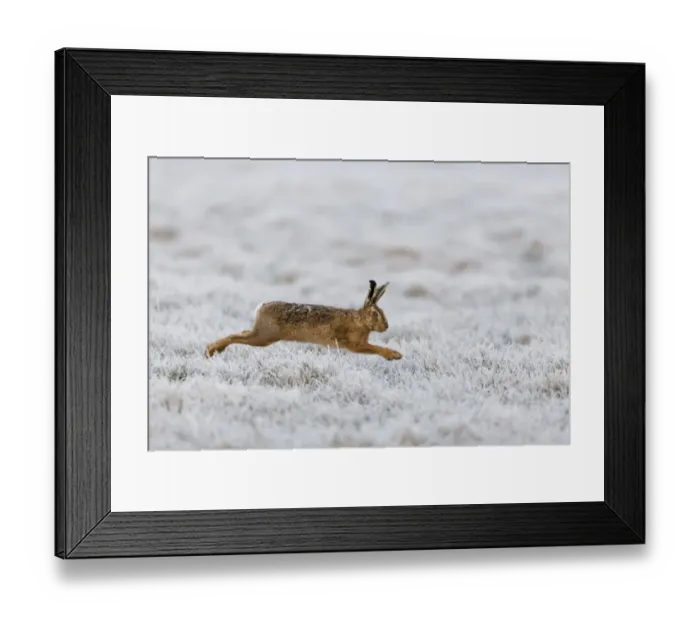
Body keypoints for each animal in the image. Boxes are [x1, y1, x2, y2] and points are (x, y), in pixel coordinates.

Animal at [205, 280, 403, 361]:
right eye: (375, 314)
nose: (386, 327)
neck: (360, 320)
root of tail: (261, 307)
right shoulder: (355, 344)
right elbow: (375, 348)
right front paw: (394, 356)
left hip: (261, 335)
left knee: (241, 333)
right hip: (264, 337)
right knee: (236, 337)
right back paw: (212, 350)